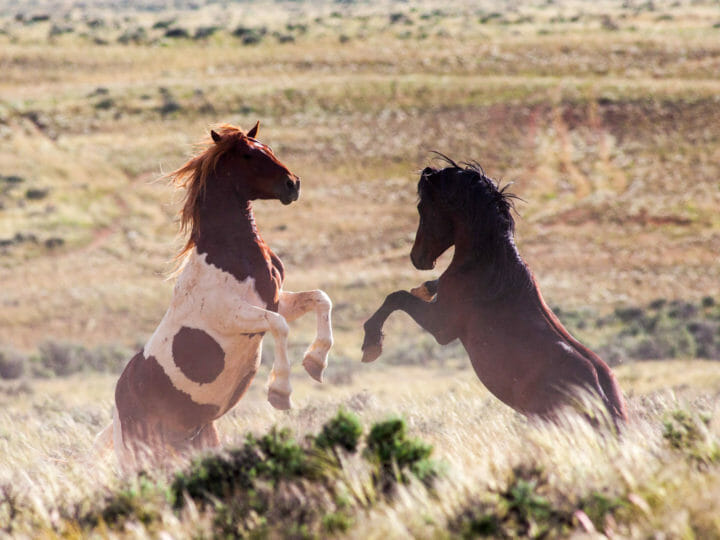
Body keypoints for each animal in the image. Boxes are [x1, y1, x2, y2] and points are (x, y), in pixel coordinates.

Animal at [94, 122, 334, 468]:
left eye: (268, 148)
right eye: (248, 155)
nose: (293, 184)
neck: (231, 252)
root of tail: (117, 411)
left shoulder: (275, 300)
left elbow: (320, 298)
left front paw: (316, 363)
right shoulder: (233, 315)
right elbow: (279, 326)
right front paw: (280, 392)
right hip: (144, 459)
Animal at [362, 158, 628, 428]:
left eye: (421, 206)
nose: (418, 259)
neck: (487, 267)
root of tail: (605, 404)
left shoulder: (441, 327)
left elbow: (396, 297)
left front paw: (371, 345)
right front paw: (424, 288)